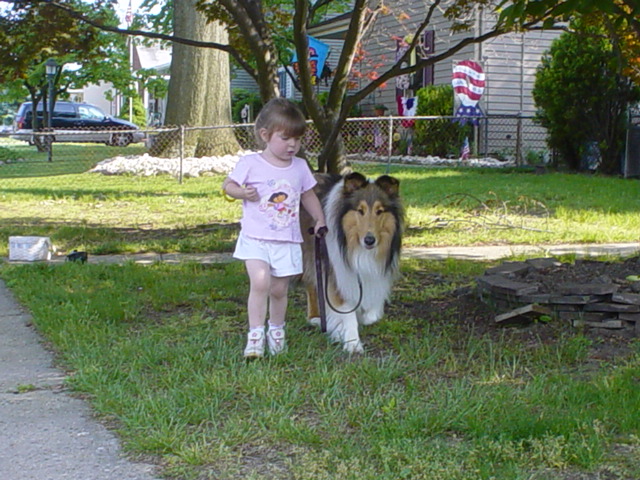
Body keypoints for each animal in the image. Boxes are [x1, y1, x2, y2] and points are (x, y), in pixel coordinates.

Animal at [302, 172, 402, 352]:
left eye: (379, 211)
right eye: (360, 210)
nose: (369, 240)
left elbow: (372, 308)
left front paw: (367, 316)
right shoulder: (337, 273)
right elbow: (346, 311)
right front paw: (352, 343)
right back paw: (315, 318)